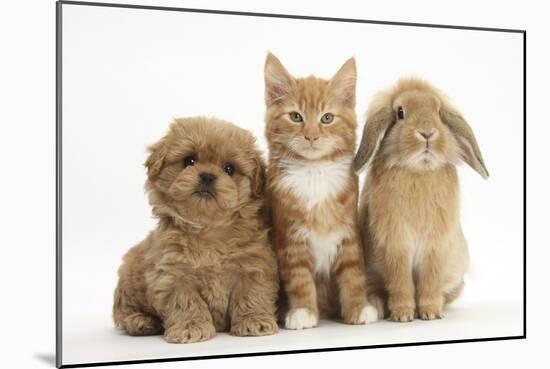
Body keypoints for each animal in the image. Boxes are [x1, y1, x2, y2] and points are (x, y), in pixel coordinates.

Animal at [112, 117, 280, 342]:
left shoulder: (254, 267)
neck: (207, 229)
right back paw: (141, 322)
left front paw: (254, 322)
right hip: (128, 279)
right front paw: (190, 327)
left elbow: (252, 295)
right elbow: (186, 302)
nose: (207, 176)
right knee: (124, 311)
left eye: (229, 168)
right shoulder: (172, 276)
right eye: (189, 161)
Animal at [264, 52, 378, 328]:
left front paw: (358, 307)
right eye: (296, 117)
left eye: (327, 118)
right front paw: (303, 311)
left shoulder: (348, 231)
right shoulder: (290, 237)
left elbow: (353, 273)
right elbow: (299, 279)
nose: (311, 136)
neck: (314, 172)